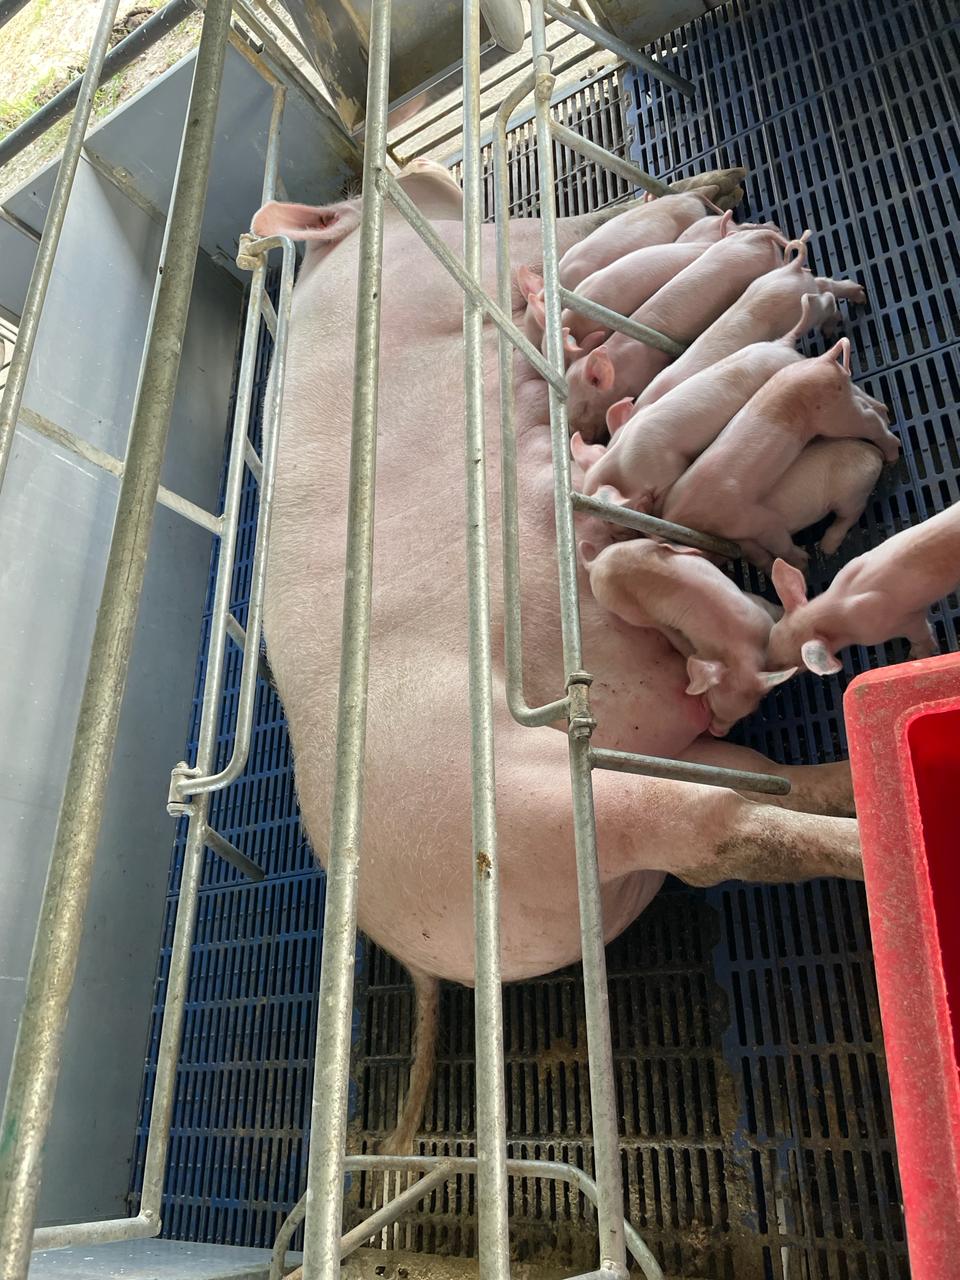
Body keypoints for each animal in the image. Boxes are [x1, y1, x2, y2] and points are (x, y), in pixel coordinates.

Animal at [580, 540, 796, 737]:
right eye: (713, 705)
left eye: (747, 712)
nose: (718, 733)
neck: (741, 651)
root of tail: (596, 563)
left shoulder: (759, 608)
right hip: (625, 609)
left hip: (639, 545)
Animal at [662, 340, 900, 570]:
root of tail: (823, 359)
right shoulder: (744, 541)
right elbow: (758, 555)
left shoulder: (752, 517)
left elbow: (777, 539)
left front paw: (803, 563)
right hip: (845, 400)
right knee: (869, 405)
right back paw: (886, 416)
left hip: (835, 418)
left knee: (871, 424)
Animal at [766, 504, 960, 674]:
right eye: (770, 639)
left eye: (789, 665)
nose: (766, 666)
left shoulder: (904, 620)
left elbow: (922, 633)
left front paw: (916, 656)